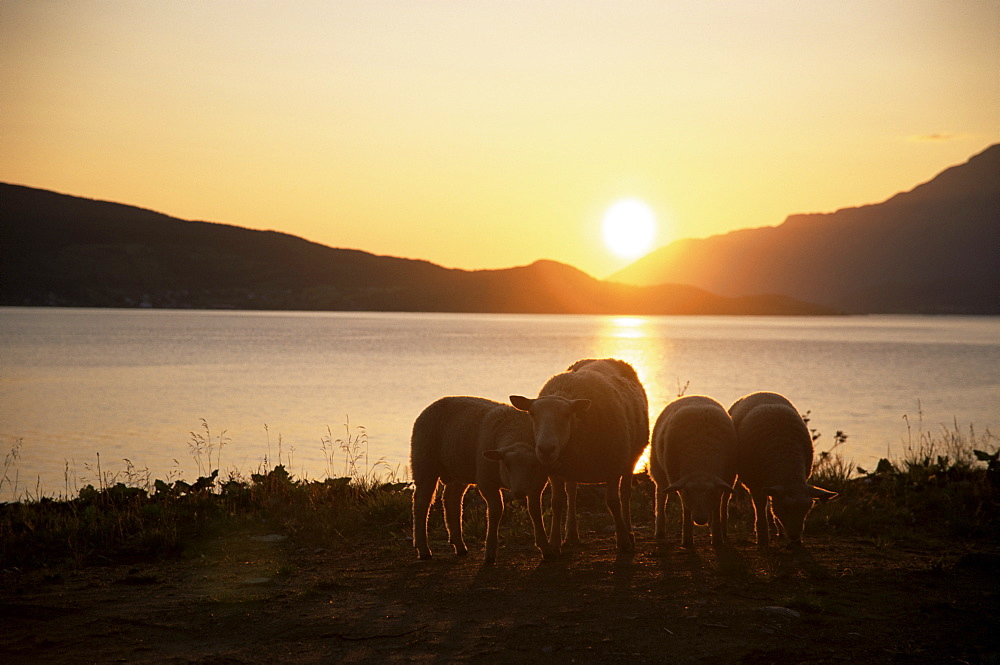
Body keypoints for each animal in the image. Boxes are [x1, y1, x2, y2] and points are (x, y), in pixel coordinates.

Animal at [406, 394, 552, 564]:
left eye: (534, 465)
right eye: (507, 464)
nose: (520, 493)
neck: (516, 433)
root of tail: (435, 403)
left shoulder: (537, 484)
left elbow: (535, 511)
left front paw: (546, 548)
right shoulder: (486, 482)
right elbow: (496, 511)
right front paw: (490, 553)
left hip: (458, 468)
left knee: (452, 500)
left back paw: (459, 545)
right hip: (424, 463)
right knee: (422, 502)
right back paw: (423, 549)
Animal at [508, 360, 648, 552]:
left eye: (567, 414)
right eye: (532, 414)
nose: (545, 449)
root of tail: (606, 359)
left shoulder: (613, 465)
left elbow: (613, 502)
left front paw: (624, 542)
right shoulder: (554, 470)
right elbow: (557, 503)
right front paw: (554, 543)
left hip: (630, 458)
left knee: (625, 495)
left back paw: (629, 532)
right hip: (572, 468)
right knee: (572, 494)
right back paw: (572, 535)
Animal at [652, 394, 740, 548]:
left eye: (710, 492)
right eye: (688, 493)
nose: (700, 519)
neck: (701, 463)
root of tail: (695, 395)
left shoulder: (725, 478)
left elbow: (717, 505)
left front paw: (717, 538)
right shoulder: (678, 481)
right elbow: (686, 509)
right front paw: (687, 539)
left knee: (724, 501)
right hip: (658, 469)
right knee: (661, 496)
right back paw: (660, 530)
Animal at [732, 390, 840, 544]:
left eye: (808, 509)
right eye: (785, 508)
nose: (795, 537)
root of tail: (763, 391)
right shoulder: (755, 485)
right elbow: (761, 508)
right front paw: (763, 538)